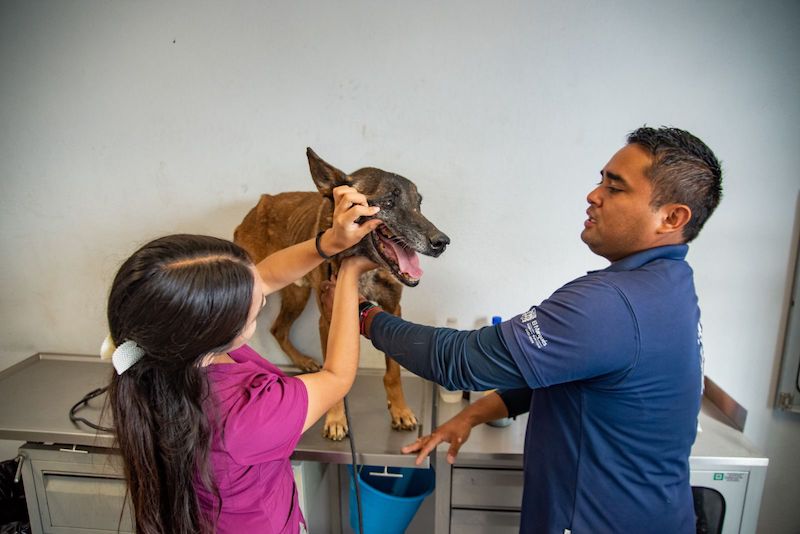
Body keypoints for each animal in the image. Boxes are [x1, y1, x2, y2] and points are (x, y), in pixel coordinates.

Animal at [234, 149, 454, 442]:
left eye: (419, 204)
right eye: (388, 202)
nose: (442, 242)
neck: (366, 269)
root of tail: (260, 204)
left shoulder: (393, 309)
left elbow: (393, 371)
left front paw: (400, 410)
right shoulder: (327, 320)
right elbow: (334, 376)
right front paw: (336, 418)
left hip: (296, 293)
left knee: (278, 329)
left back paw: (302, 361)